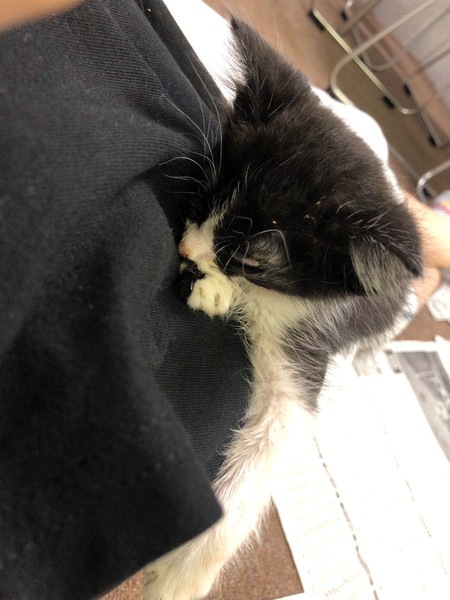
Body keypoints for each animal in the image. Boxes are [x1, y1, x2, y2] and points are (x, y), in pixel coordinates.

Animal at [145, 18, 422, 600]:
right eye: (203, 198)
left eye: (254, 258)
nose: (186, 254)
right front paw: (211, 286)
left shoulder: (312, 337)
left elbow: (279, 430)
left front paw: (180, 576)